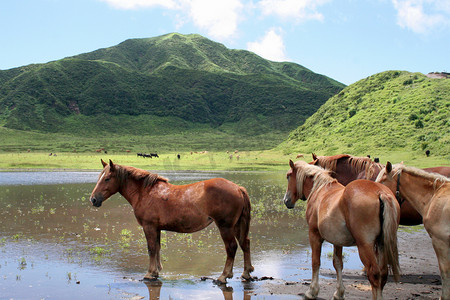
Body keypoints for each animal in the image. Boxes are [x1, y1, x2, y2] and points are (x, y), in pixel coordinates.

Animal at [89, 159, 255, 284]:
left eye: (107, 178)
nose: (93, 199)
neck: (145, 192)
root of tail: (238, 188)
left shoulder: (149, 226)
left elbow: (151, 248)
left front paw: (149, 274)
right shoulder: (156, 228)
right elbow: (157, 248)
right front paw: (155, 272)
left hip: (225, 226)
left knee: (231, 247)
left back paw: (223, 276)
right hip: (237, 225)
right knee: (245, 243)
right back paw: (246, 273)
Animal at [284, 161, 400, 298]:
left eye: (288, 176)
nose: (286, 200)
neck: (320, 190)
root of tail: (380, 193)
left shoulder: (314, 235)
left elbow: (315, 262)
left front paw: (312, 291)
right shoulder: (337, 240)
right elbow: (338, 263)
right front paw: (339, 293)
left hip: (365, 246)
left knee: (374, 274)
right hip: (381, 244)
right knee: (383, 273)